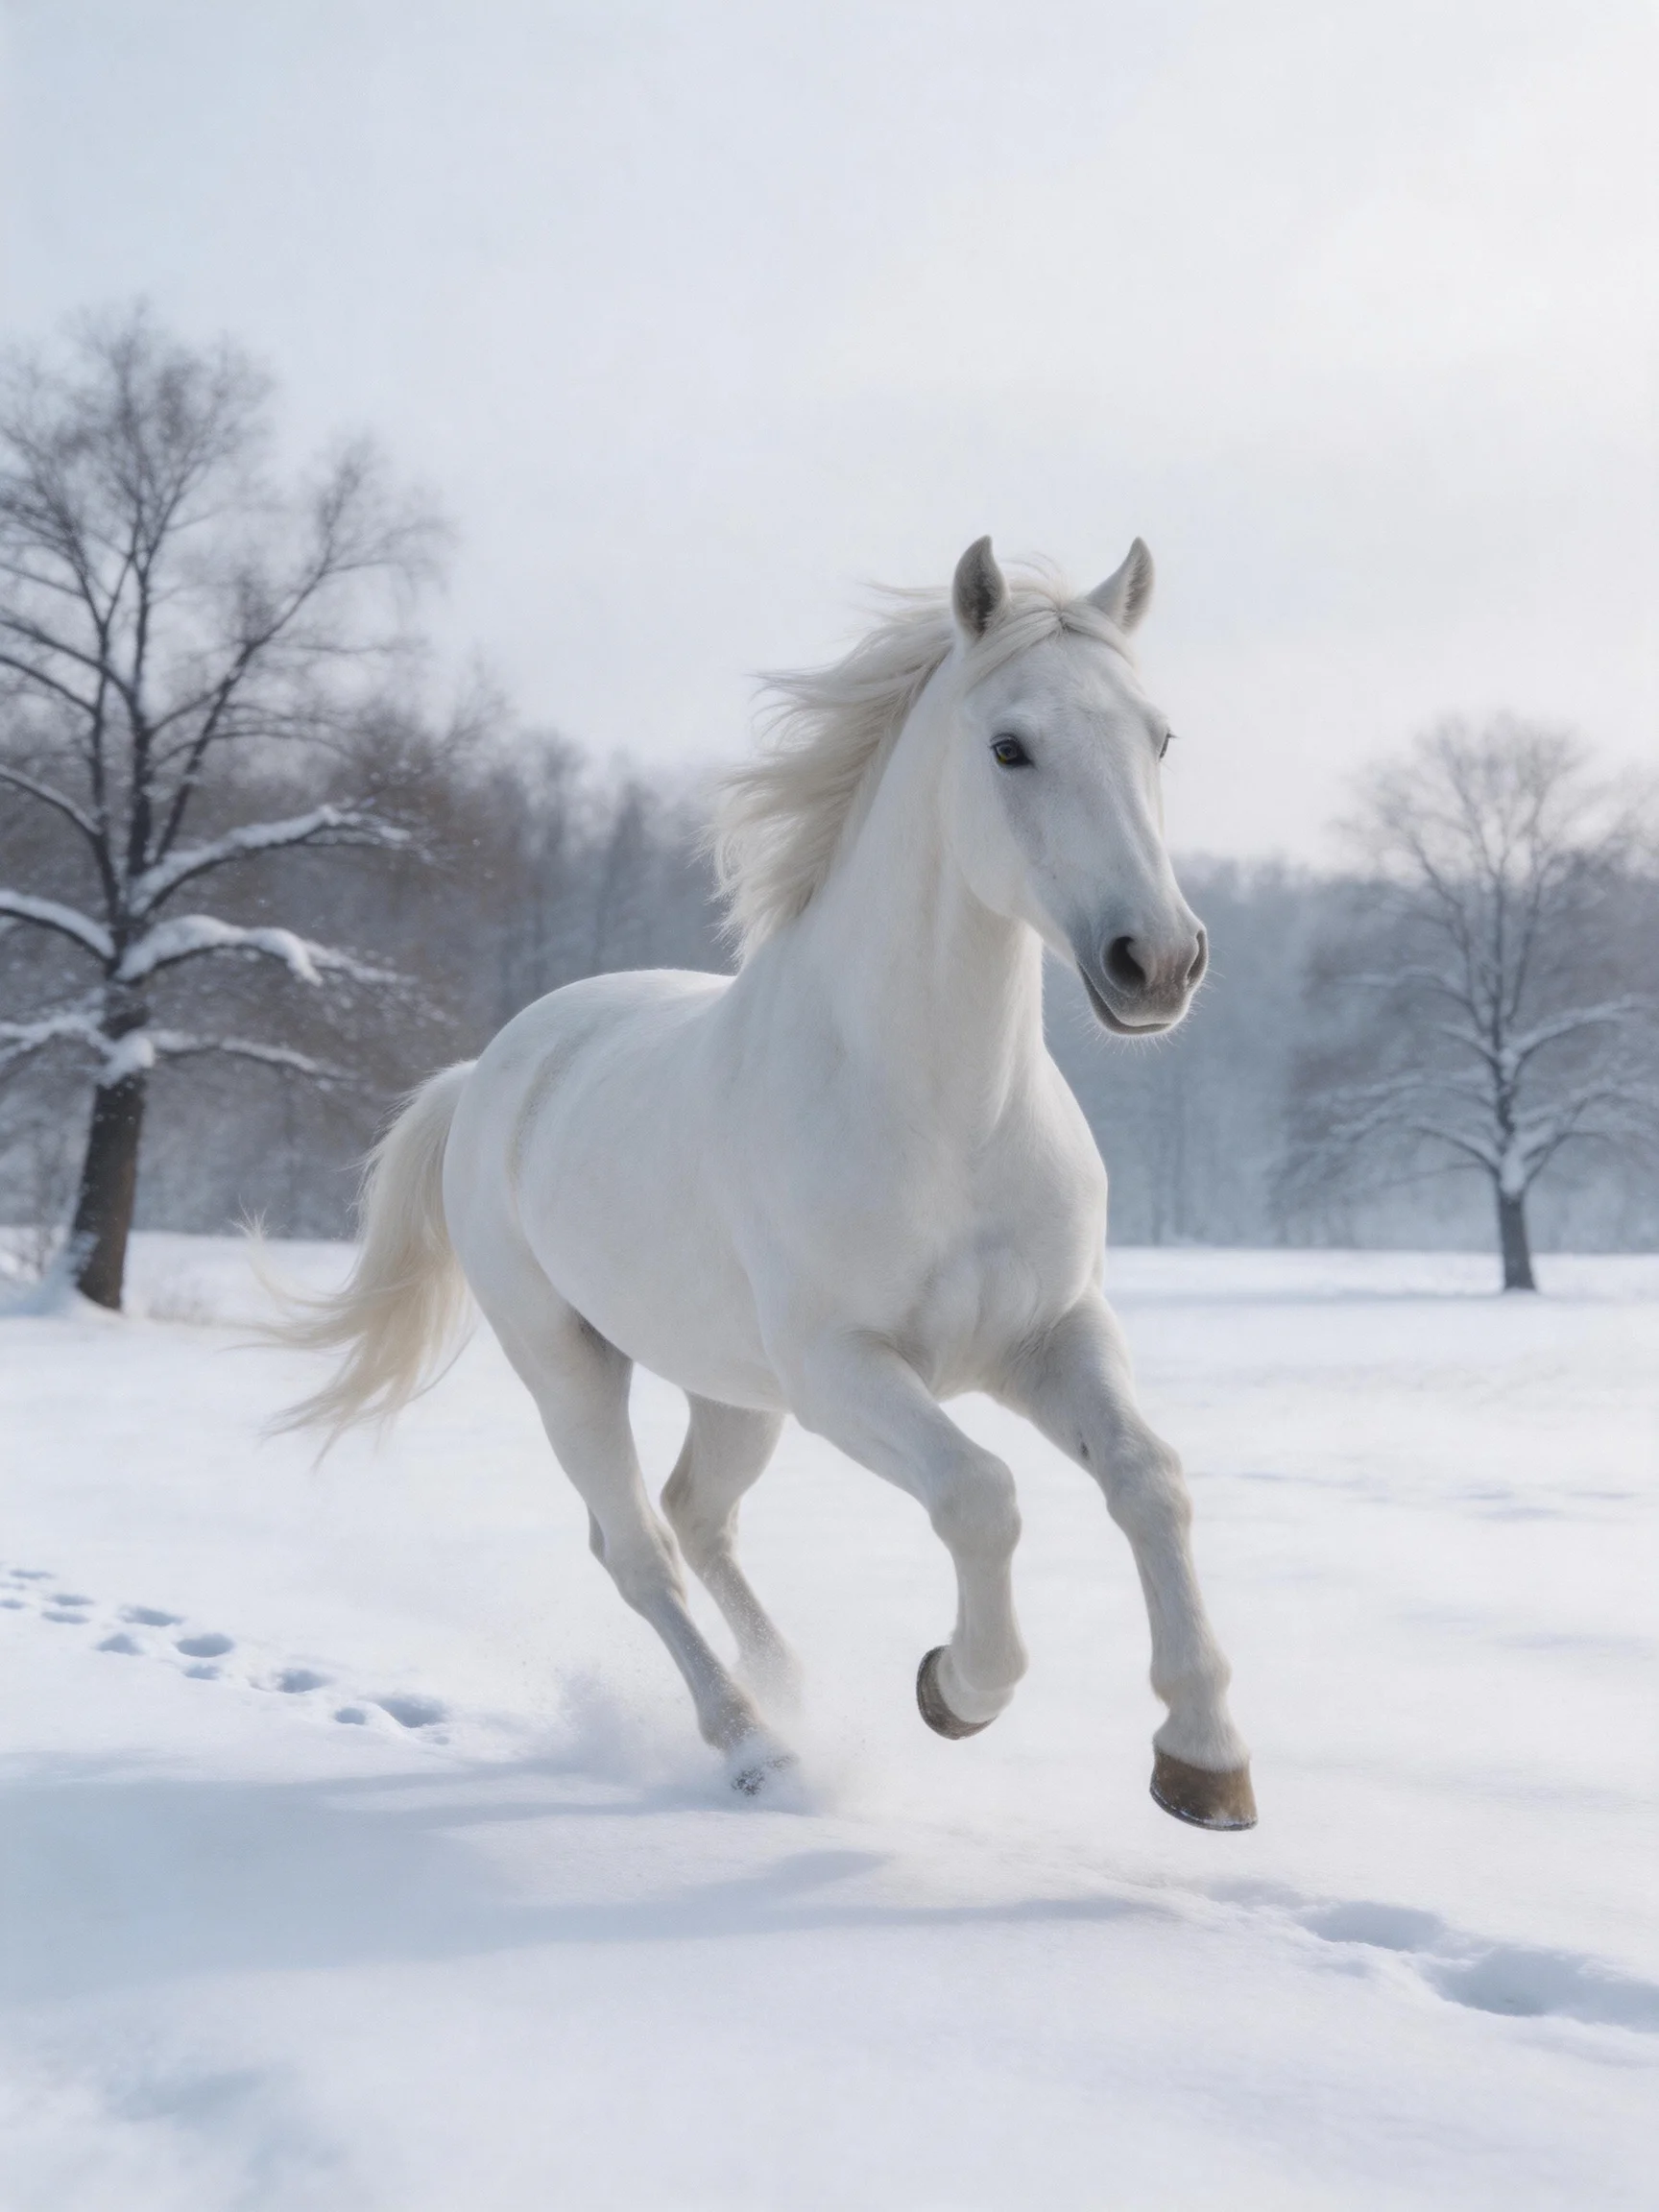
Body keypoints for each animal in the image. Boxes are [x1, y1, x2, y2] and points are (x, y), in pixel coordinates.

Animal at [280, 535, 1256, 1831]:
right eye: (1010, 746)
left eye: (1159, 737)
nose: (1157, 961)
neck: (940, 1113)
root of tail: (487, 1072)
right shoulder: (844, 1369)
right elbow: (979, 1494)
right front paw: (956, 1688)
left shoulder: (1051, 1336)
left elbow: (1151, 1481)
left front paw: (1204, 1758)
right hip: (569, 1367)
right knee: (636, 1546)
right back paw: (757, 1745)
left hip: (734, 1390)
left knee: (698, 1514)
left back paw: (793, 1690)